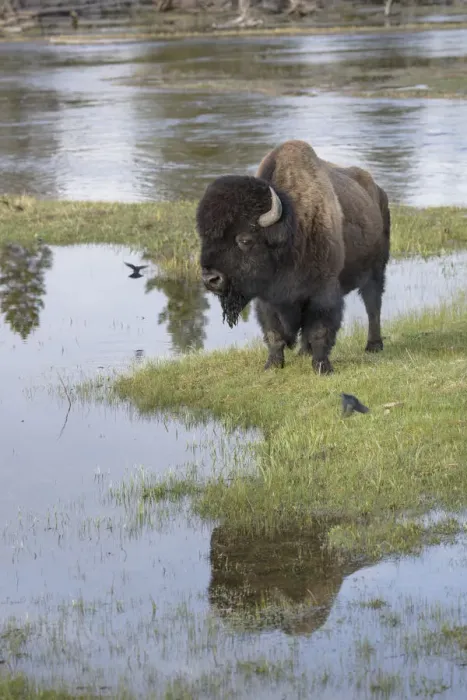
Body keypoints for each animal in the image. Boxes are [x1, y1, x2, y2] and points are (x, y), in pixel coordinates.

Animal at [196, 139, 391, 374]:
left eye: (245, 240)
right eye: (204, 236)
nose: (211, 279)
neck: (292, 228)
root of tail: (378, 192)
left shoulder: (323, 291)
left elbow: (319, 331)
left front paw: (322, 367)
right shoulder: (268, 299)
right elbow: (275, 333)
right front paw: (272, 365)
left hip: (376, 270)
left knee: (373, 306)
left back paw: (374, 346)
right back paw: (303, 351)